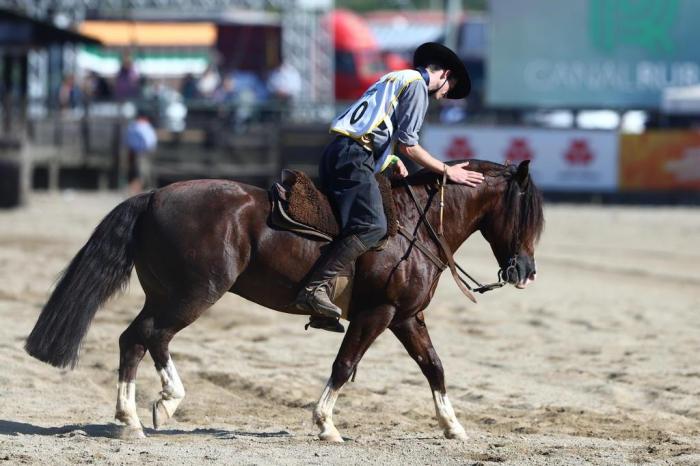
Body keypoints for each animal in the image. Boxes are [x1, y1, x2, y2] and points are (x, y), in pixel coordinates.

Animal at [24, 159, 544, 440]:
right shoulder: (377, 314)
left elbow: (434, 367)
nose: (525, 272)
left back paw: (163, 404)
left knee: (147, 338)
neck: (414, 226)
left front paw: (453, 427)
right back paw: (133, 418)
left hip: (169, 294)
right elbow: (345, 365)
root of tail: (152, 196)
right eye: (528, 212)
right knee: (140, 338)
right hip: (194, 294)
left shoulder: (406, 317)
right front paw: (326, 424)